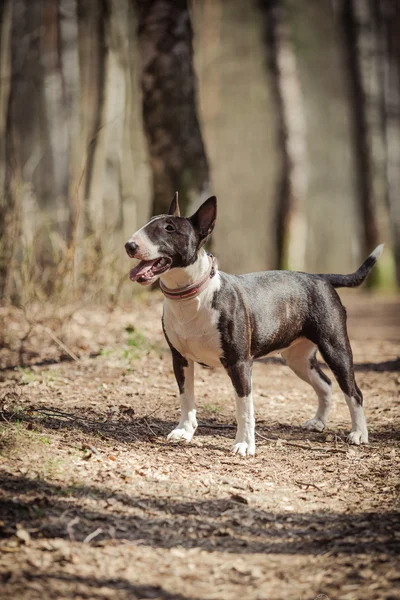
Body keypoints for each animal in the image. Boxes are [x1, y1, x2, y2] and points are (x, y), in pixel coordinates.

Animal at [125, 192, 382, 454]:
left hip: (335, 347)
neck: (193, 295)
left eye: (169, 228)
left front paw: (244, 444)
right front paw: (184, 431)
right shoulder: (180, 359)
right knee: (326, 383)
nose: (129, 246)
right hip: (297, 358)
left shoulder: (240, 363)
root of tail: (320, 277)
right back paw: (319, 421)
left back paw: (359, 433)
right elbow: (186, 397)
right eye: (148, 222)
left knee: (354, 392)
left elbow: (244, 408)